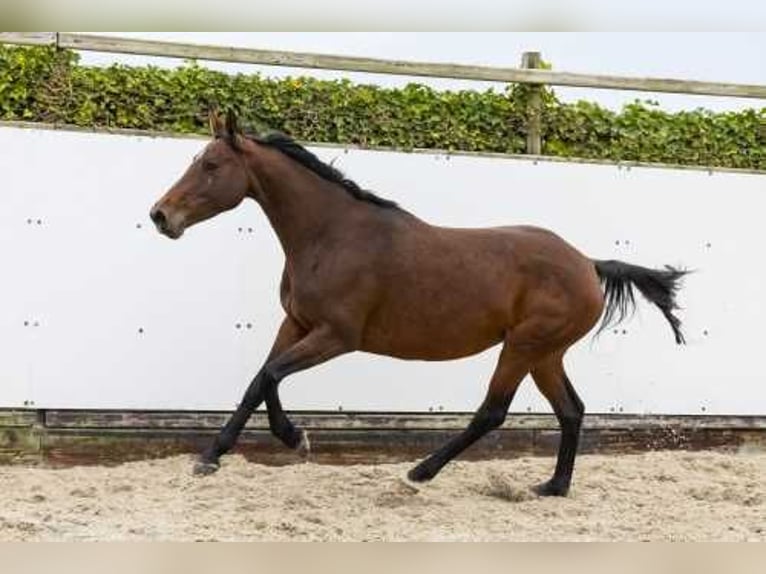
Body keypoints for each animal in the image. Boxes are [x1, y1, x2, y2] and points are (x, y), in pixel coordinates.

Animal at [150, 110, 688, 498]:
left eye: (211, 165)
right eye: (195, 159)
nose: (160, 215)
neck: (332, 235)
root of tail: (587, 264)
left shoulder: (336, 336)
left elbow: (270, 376)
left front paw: (290, 438)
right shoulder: (296, 324)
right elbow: (258, 381)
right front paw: (214, 456)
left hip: (523, 347)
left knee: (492, 412)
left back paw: (419, 473)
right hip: (545, 354)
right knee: (572, 410)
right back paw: (553, 487)